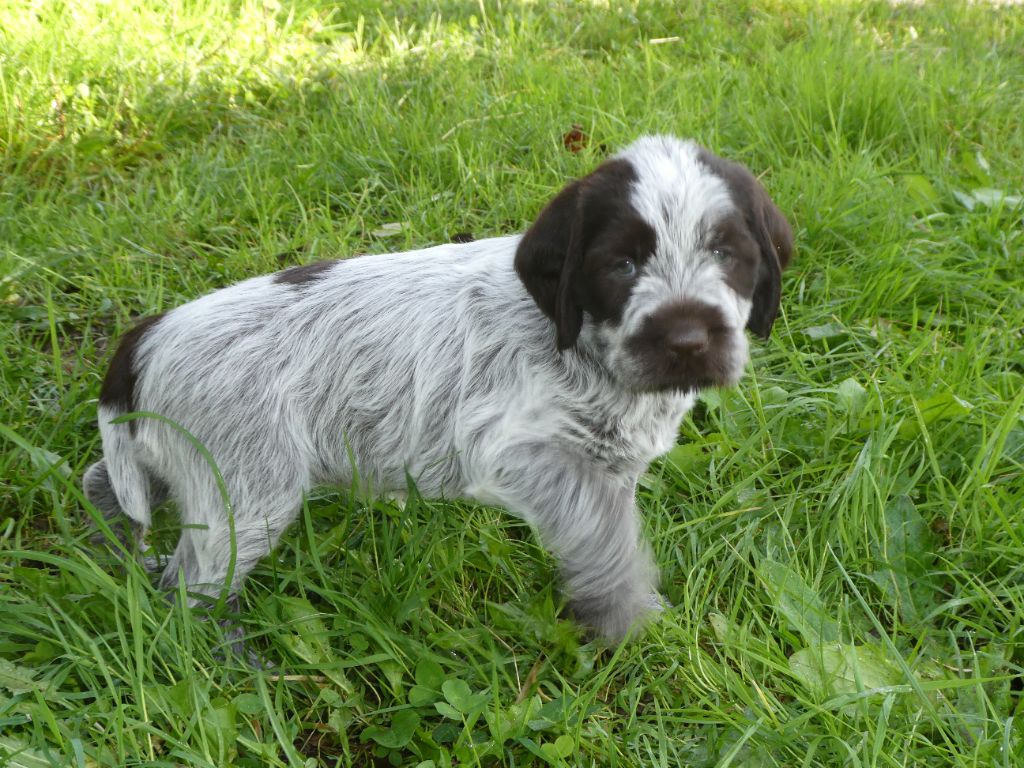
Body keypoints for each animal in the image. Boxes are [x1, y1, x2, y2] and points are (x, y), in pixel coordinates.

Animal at [83, 135, 794, 638]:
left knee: (104, 484)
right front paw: (628, 621)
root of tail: (147, 337)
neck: (585, 346)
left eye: (727, 254)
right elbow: (607, 540)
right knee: (189, 590)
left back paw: (106, 550)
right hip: (246, 490)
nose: (687, 340)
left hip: (174, 460)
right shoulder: (517, 454)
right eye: (621, 265)